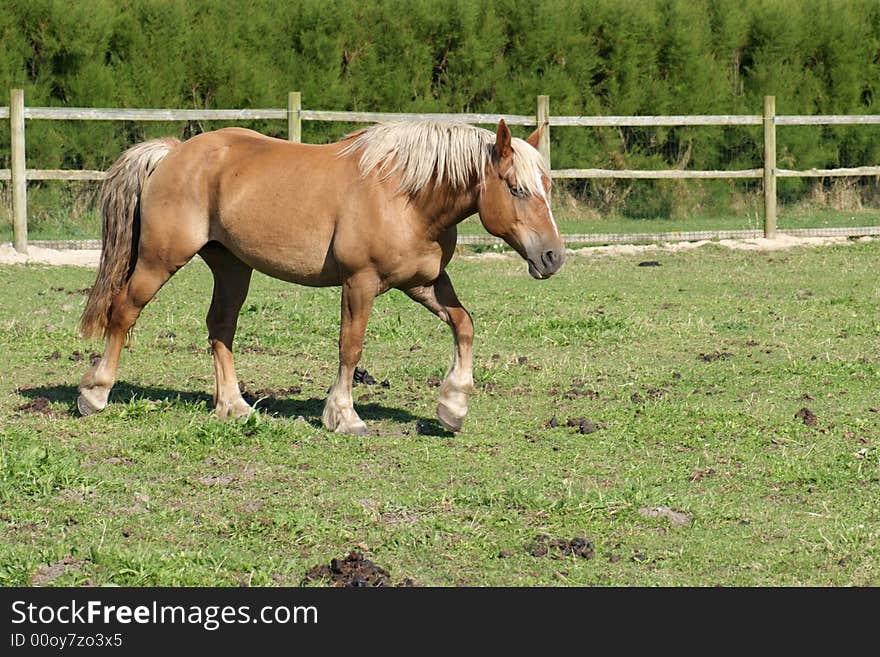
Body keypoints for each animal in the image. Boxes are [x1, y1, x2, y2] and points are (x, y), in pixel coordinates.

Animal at [79, 120, 568, 434]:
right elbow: (350, 347)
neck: (406, 198)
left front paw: (453, 406)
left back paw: (234, 407)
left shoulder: (425, 281)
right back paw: (95, 394)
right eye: (517, 188)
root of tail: (173, 153)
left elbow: (465, 325)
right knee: (123, 314)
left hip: (233, 267)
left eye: (547, 186)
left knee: (220, 329)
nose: (552, 257)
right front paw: (343, 415)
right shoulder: (360, 283)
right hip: (159, 260)